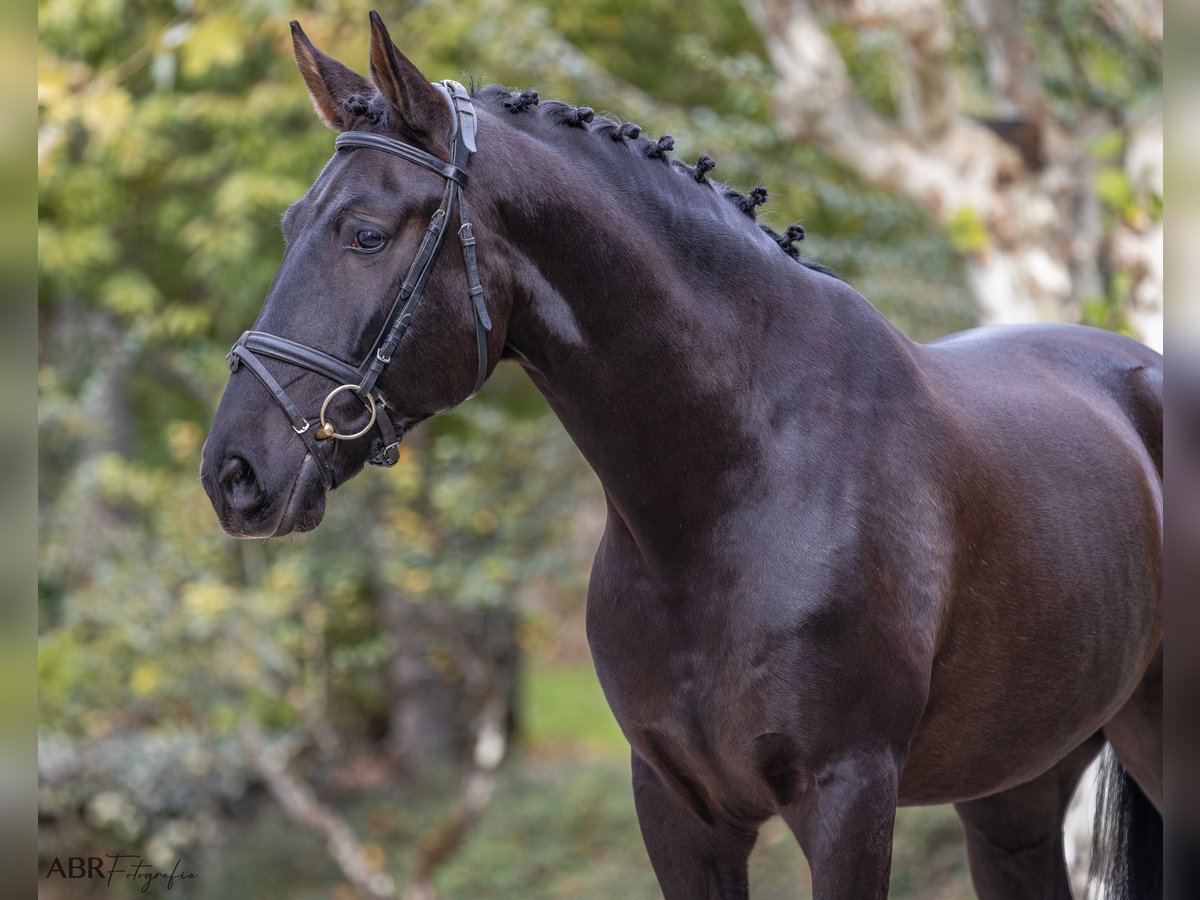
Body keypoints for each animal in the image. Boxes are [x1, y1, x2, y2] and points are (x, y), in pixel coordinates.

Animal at [199, 15, 1161, 900]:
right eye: (289, 223)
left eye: (364, 234)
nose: (232, 473)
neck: (732, 488)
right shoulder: (676, 808)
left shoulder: (850, 799)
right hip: (1015, 790)